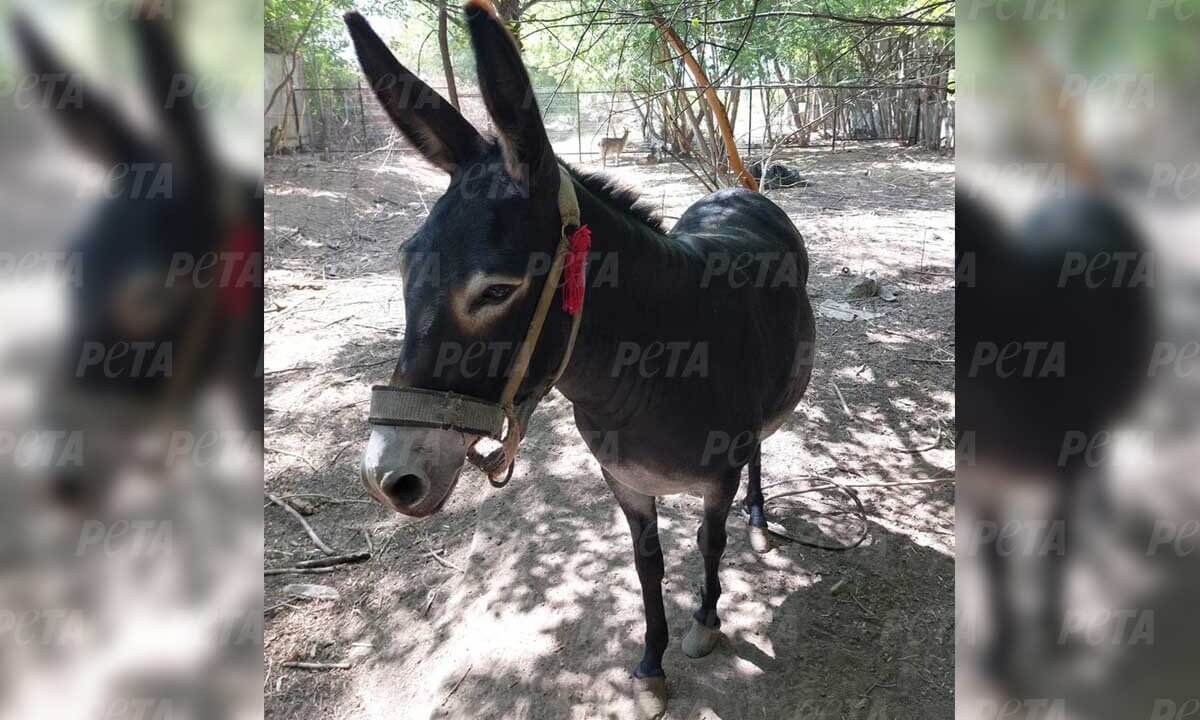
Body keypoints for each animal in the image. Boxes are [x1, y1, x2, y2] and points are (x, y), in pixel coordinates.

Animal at [347, 5, 815, 716]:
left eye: (497, 290)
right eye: (405, 264)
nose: (387, 477)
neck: (653, 372)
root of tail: (740, 191)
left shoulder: (715, 477)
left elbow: (709, 542)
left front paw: (706, 624)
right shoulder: (623, 481)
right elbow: (647, 564)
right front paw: (650, 665)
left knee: (758, 450)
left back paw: (759, 519)